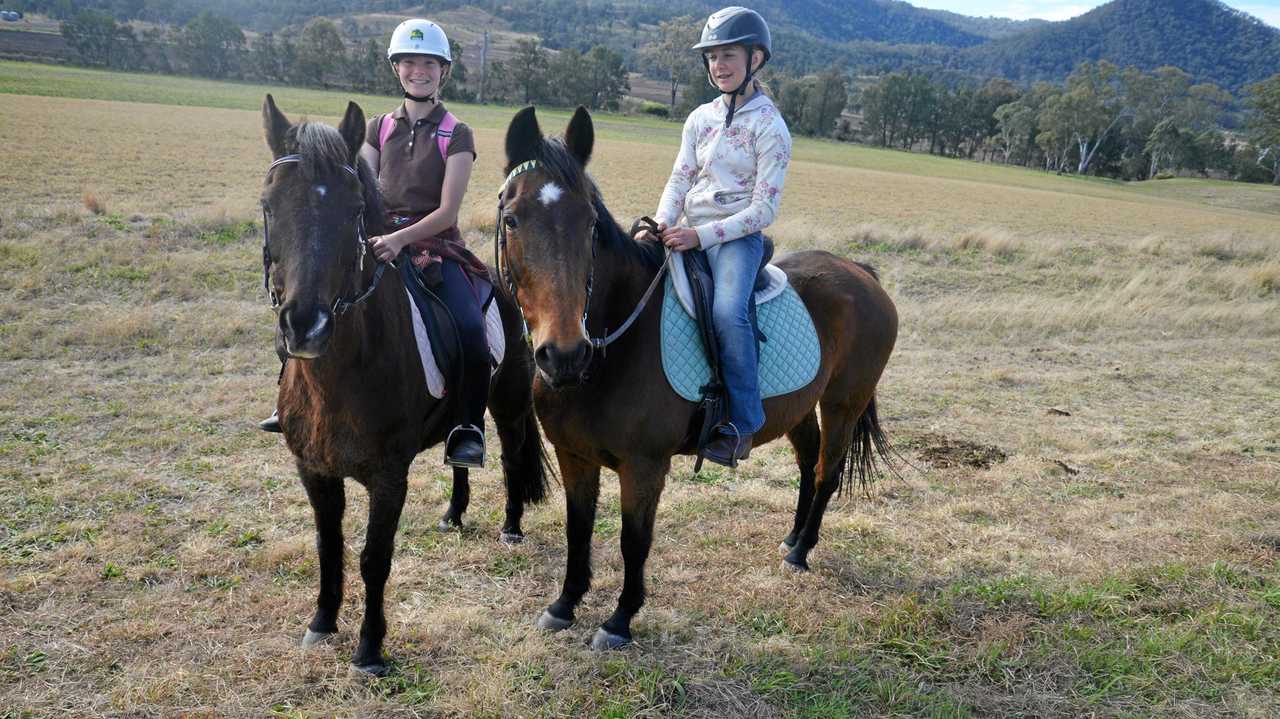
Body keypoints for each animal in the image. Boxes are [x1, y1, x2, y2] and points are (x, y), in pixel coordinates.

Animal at [264, 96, 550, 670]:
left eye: (353, 210)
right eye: (268, 205)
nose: (305, 325)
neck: (338, 377)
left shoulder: (388, 476)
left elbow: (375, 558)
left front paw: (370, 649)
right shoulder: (314, 470)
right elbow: (328, 546)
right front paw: (322, 622)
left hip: (509, 405)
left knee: (510, 458)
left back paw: (510, 528)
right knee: (460, 454)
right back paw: (454, 514)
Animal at [494, 107, 896, 649]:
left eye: (591, 224)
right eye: (512, 219)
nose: (563, 356)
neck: (613, 351)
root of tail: (859, 272)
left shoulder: (644, 467)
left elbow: (633, 541)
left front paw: (619, 620)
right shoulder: (573, 455)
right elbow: (578, 530)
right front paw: (565, 604)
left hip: (843, 404)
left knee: (825, 472)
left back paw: (800, 552)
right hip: (799, 408)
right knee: (808, 462)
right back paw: (791, 539)